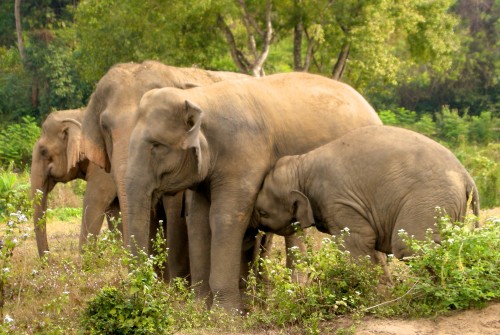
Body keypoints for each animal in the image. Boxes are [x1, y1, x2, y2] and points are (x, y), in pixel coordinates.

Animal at [125, 71, 382, 312]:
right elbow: (198, 220)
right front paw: (198, 308)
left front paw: (225, 314)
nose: (144, 295)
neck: (201, 97)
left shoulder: (244, 155)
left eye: (157, 146)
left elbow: (226, 217)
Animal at [254, 124, 480, 276]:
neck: (301, 165)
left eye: (262, 212)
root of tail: (467, 177)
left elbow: (358, 241)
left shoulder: (337, 200)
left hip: (429, 199)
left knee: (408, 246)